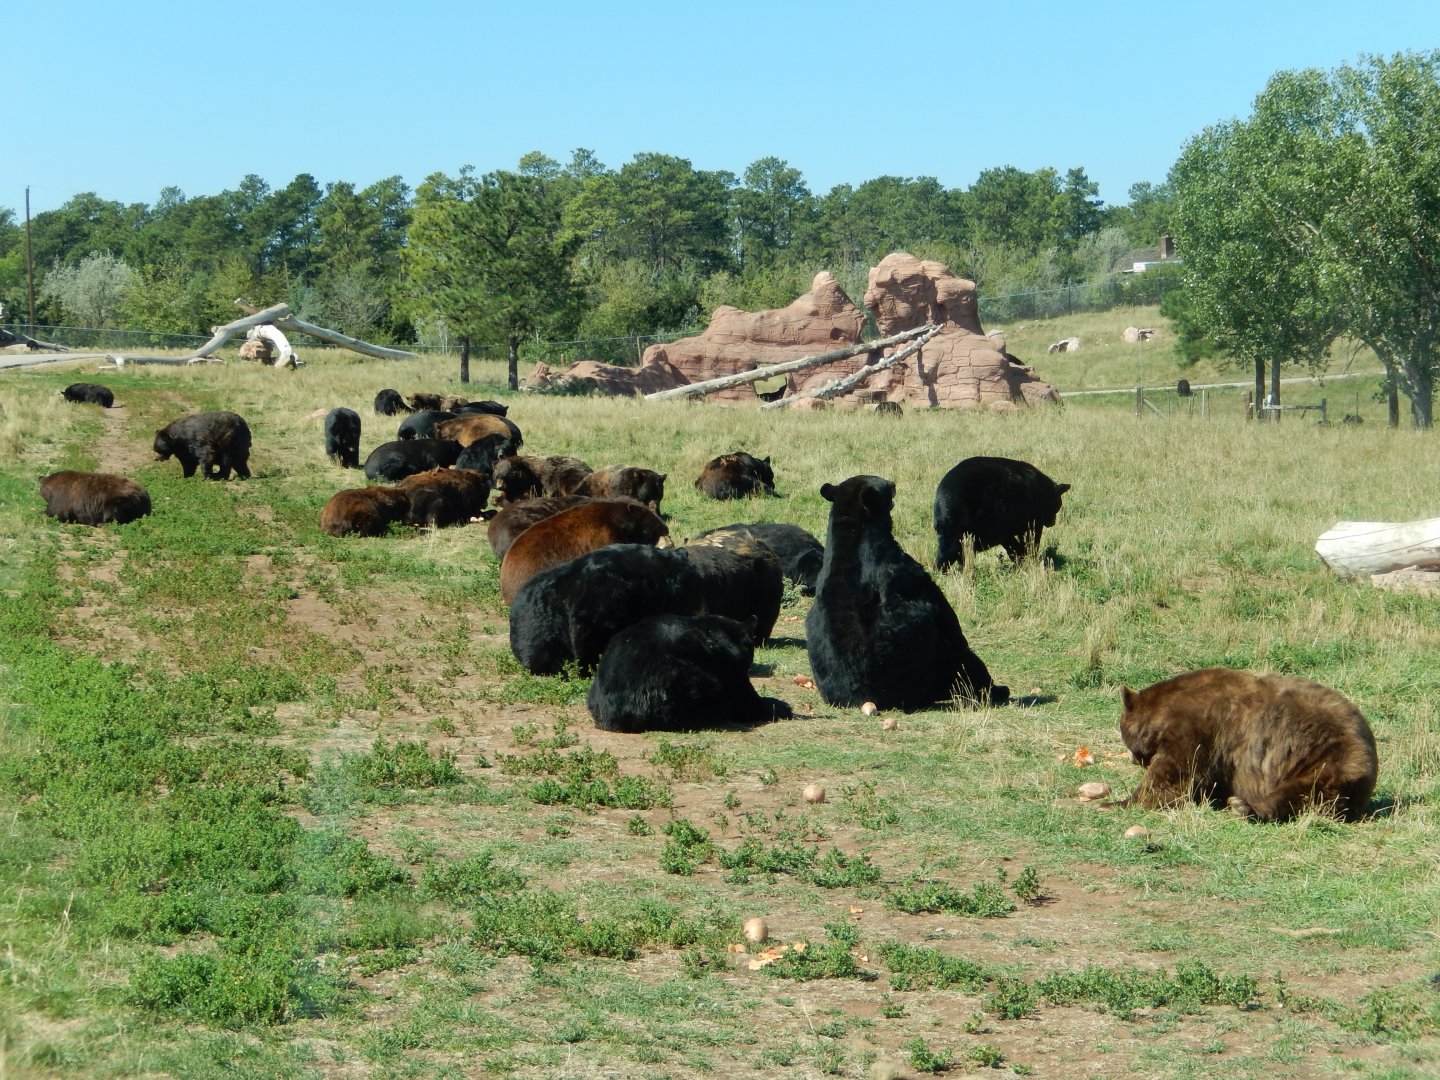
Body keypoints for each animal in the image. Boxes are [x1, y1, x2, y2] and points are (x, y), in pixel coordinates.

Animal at [807, 475, 1008, 711]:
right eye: (885, 485)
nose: (893, 483)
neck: (852, 538)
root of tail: (869, 698)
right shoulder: (904, 572)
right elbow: (945, 617)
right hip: (932, 671)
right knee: (966, 663)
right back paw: (996, 690)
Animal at [933, 456, 1069, 572]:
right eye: (1056, 507)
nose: (1053, 522)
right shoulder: (1030, 521)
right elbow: (1030, 541)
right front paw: (1025, 558)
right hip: (958, 531)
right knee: (949, 552)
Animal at [1115, 668, 1379, 822]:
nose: (1133, 758)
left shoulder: (1197, 728)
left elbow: (1172, 775)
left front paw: (1119, 802)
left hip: (1330, 759)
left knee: (1302, 791)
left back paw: (1245, 807)